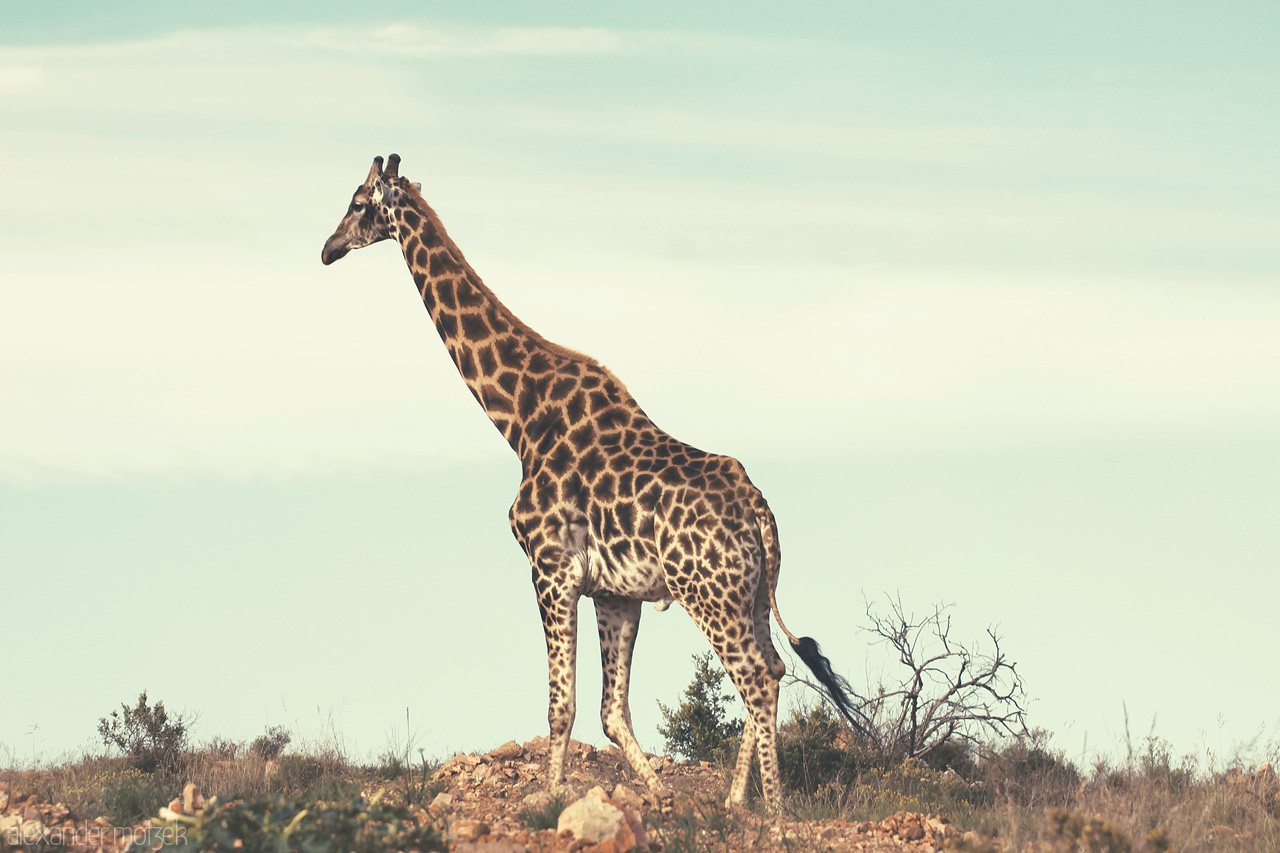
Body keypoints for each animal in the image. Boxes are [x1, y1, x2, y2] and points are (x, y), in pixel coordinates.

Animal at [320, 154, 867, 807]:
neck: (520, 417)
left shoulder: (549, 568)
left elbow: (562, 705)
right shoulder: (614, 591)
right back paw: (736, 801)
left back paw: (774, 812)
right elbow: (611, 710)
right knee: (776, 669)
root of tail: (758, 509)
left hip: (708, 594)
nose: (327, 249)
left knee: (757, 678)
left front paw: (550, 797)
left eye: (357, 203)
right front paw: (657, 795)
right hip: (753, 594)